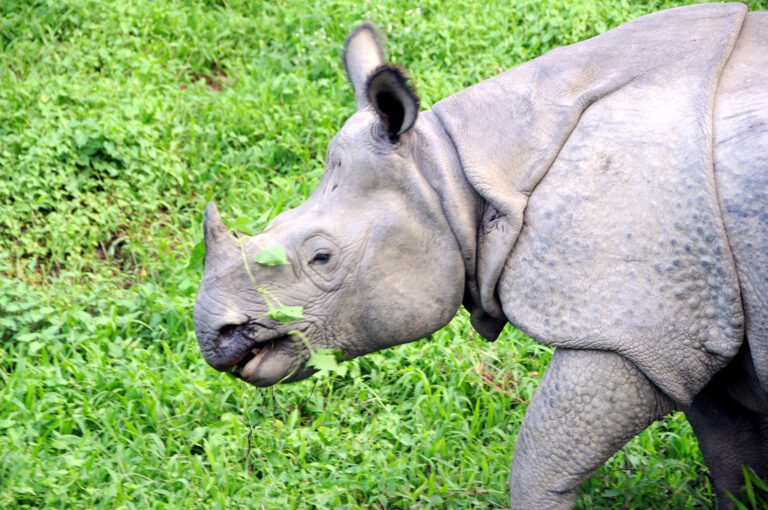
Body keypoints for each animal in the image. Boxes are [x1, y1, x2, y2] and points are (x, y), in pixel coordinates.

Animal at [193, 3, 768, 508]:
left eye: (322, 257)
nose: (215, 335)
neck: (453, 173)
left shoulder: (633, 326)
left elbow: (541, 459)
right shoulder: (698, 315)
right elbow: (733, 457)